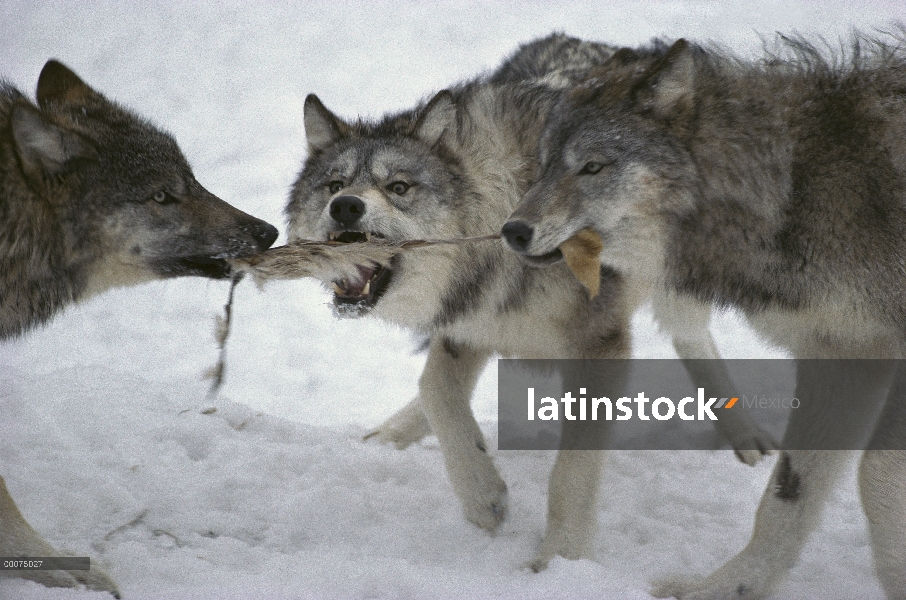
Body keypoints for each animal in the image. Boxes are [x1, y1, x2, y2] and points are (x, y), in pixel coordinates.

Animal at [286, 32, 772, 572]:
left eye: (398, 187)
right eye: (334, 184)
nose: (345, 206)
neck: (499, 218)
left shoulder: (599, 345)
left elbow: (571, 471)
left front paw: (559, 560)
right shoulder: (469, 321)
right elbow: (436, 390)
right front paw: (484, 498)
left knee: (693, 335)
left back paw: (747, 437)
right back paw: (388, 435)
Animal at [504, 31, 904, 600]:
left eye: (593, 167)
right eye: (543, 166)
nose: (512, 231)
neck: (797, 188)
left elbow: (876, 472)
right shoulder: (843, 353)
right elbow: (786, 497)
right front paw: (726, 589)